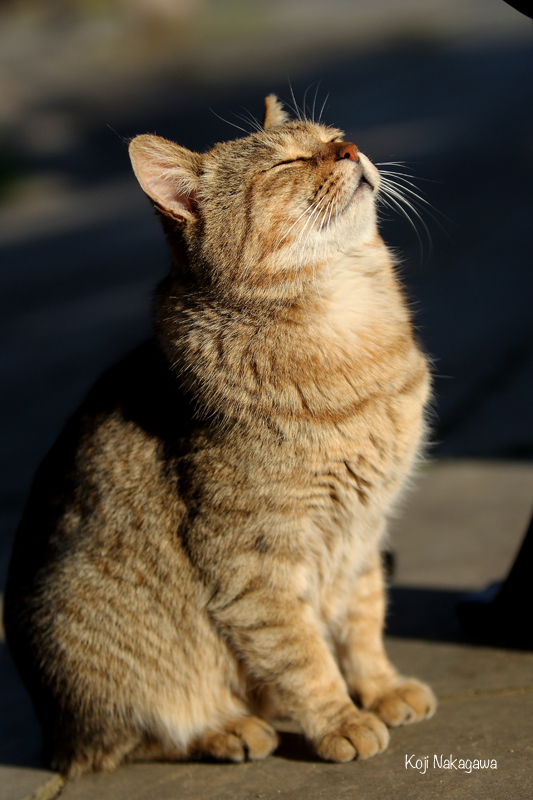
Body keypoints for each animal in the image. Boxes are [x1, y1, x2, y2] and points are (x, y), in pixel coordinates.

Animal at [4, 94, 434, 776]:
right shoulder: (254, 565)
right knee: (139, 738)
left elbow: (363, 623)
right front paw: (340, 719)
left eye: (334, 136)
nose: (350, 149)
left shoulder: (362, 535)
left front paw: (381, 687)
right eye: (285, 163)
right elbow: (304, 656)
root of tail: (55, 740)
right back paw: (227, 728)